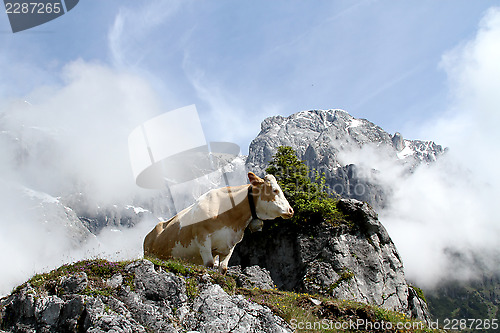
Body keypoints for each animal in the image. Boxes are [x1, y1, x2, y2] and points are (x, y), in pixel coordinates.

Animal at [143, 171, 292, 272]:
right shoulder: (202, 239)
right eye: (275, 190)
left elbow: (223, 268)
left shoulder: (230, 245)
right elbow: (209, 264)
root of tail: (148, 235)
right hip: (149, 254)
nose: (291, 210)